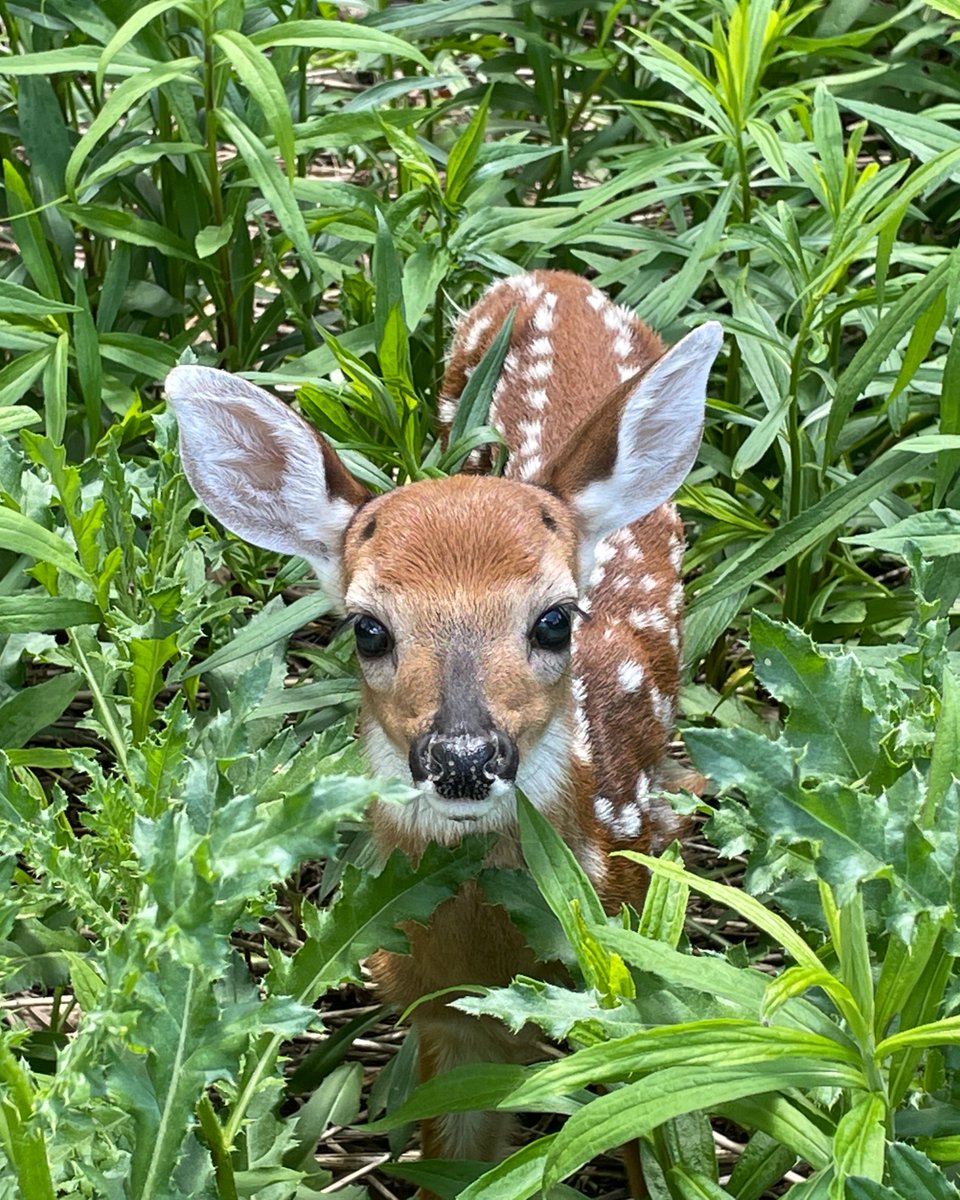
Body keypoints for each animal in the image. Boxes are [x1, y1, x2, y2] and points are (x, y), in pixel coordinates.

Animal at [165, 270, 722, 1180]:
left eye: (555, 620)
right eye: (368, 628)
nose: (462, 758)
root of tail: (555, 279)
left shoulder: (635, 975)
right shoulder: (440, 1010)